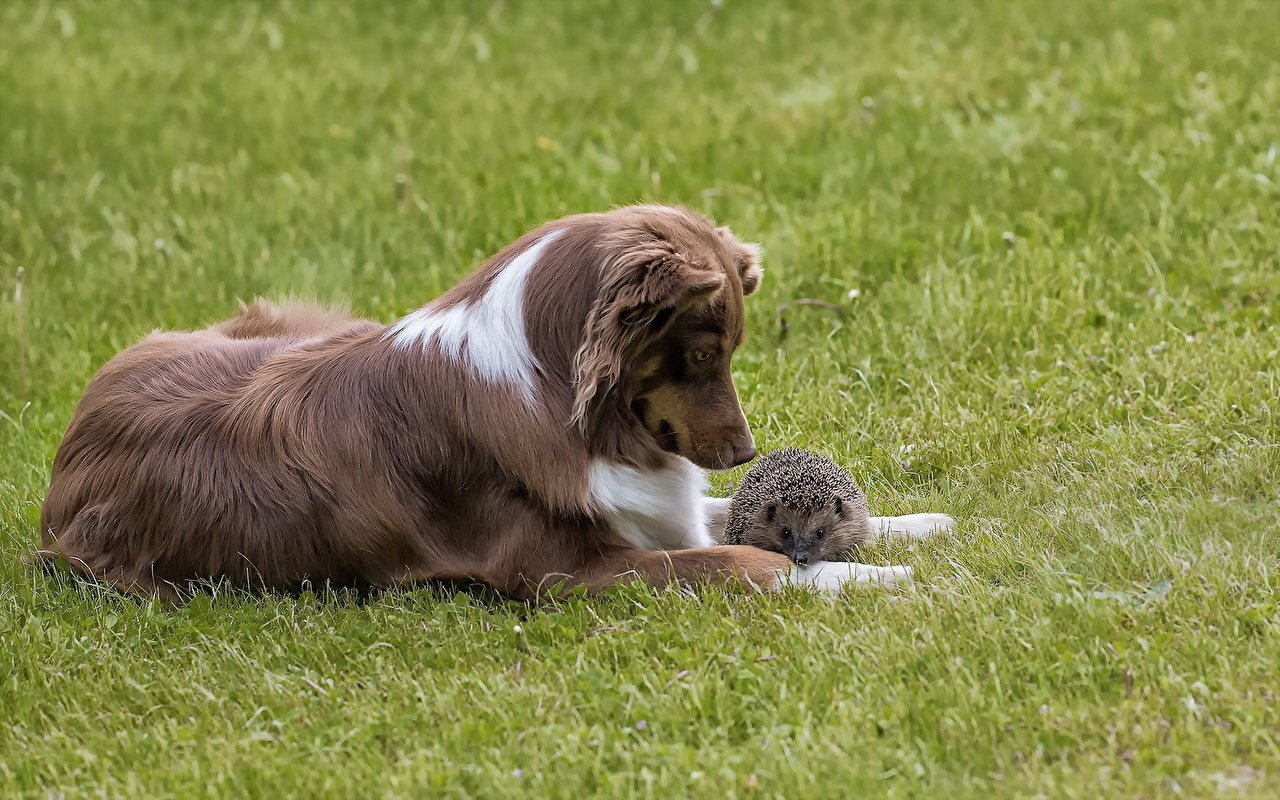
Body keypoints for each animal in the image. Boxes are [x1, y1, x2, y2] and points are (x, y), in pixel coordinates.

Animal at [35, 202, 947, 601]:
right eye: (700, 355)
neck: (558, 396)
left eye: (729, 352)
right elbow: (748, 562)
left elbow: (724, 518)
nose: (746, 454)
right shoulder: (559, 573)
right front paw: (883, 575)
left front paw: (919, 526)